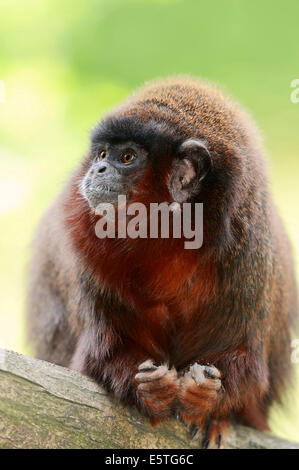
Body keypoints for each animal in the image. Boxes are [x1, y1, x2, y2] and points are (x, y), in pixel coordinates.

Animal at [27, 77, 298, 448]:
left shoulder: (249, 254)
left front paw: (205, 396)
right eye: (102, 154)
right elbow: (103, 355)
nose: (97, 169)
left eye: (127, 157)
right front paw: (151, 389)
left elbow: (248, 366)